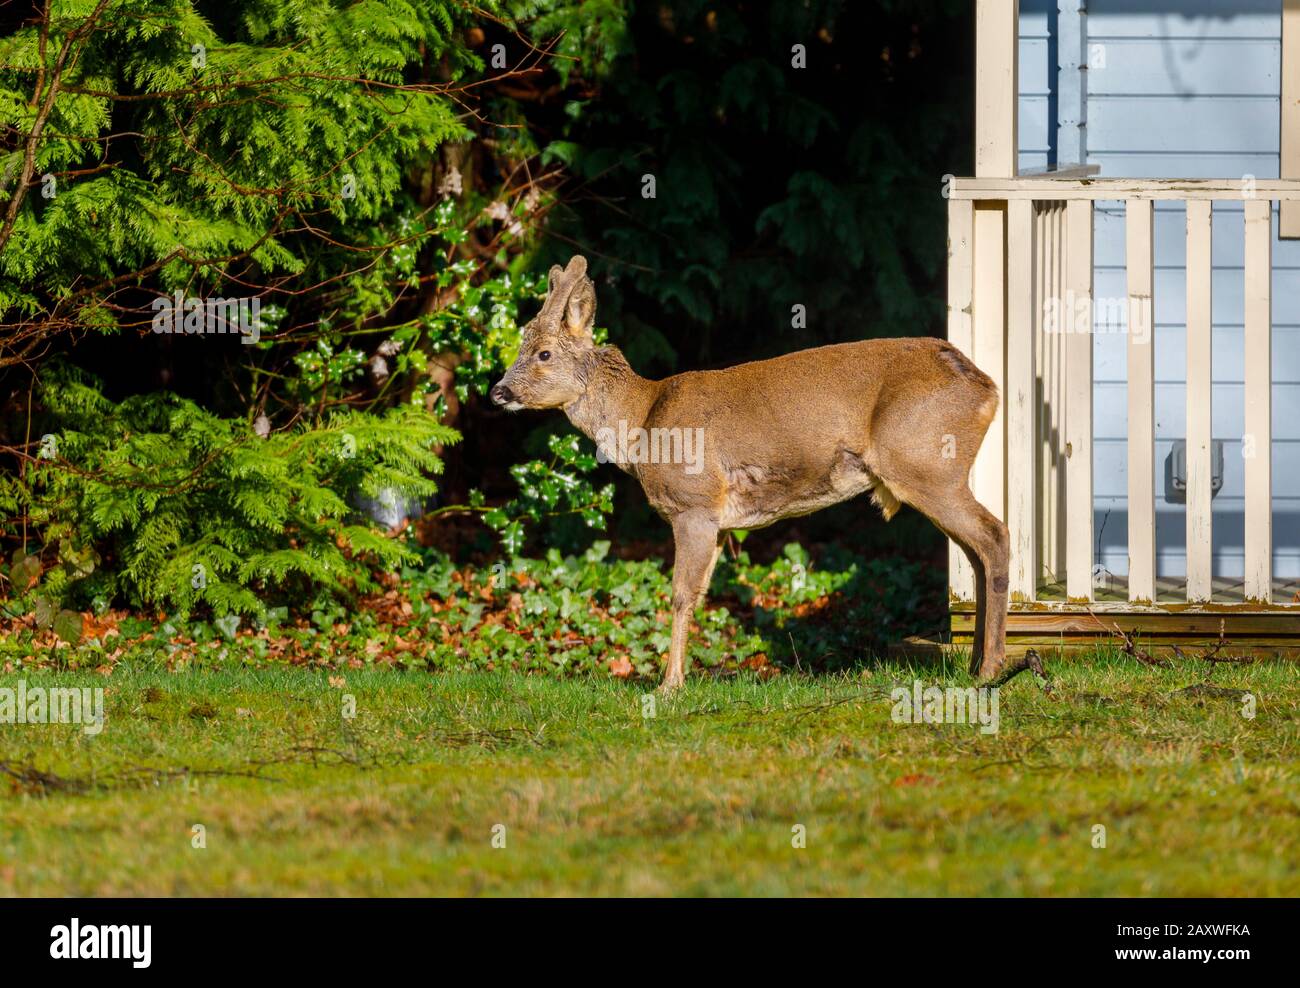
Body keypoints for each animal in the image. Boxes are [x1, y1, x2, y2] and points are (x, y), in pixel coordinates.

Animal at [491, 258, 1019, 696]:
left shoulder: (695, 504)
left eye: (542, 353)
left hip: (926, 463)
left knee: (994, 535)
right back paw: (977, 664)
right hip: (934, 472)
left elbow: (681, 595)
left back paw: (991, 668)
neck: (642, 420)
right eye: (520, 345)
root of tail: (988, 387)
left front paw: (669, 685)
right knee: (976, 552)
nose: (498, 391)